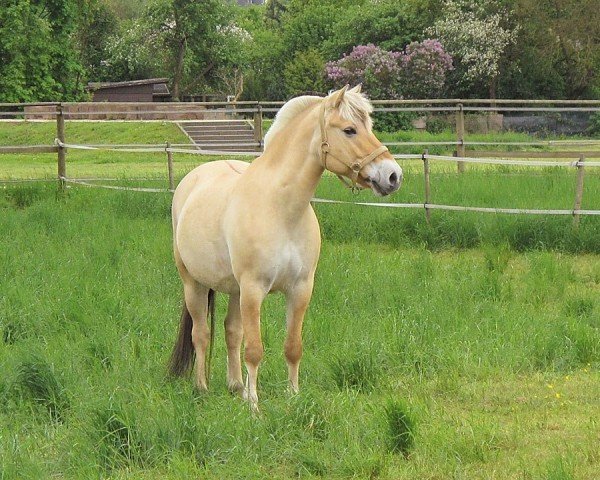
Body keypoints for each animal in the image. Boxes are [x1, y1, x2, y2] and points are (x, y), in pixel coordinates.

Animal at [169, 85, 404, 408]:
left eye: (369, 126)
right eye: (349, 130)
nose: (393, 176)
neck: (281, 209)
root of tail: (192, 179)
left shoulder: (300, 289)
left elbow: (292, 347)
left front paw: (292, 396)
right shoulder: (254, 290)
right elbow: (254, 350)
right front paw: (254, 406)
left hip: (234, 291)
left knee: (231, 332)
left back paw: (235, 387)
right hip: (194, 283)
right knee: (201, 334)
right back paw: (202, 388)